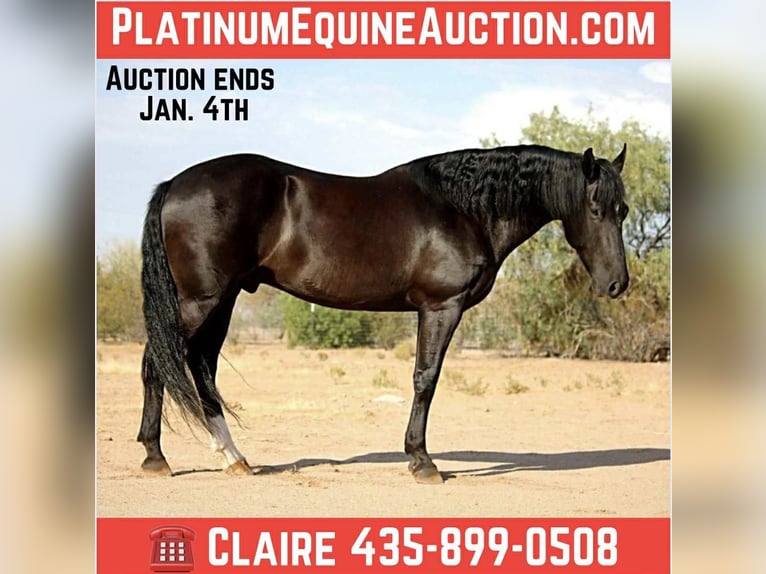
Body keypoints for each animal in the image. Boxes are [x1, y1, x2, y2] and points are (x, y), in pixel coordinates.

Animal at [138, 143, 629, 484]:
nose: (617, 284)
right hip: (199, 301)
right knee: (157, 363)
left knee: (202, 367)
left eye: (622, 210)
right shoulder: (440, 307)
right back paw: (155, 458)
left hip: (223, 299)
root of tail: (173, 184)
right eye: (594, 208)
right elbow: (426, 379)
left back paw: (234, 457)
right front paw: (422, 462)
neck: (465, 207)